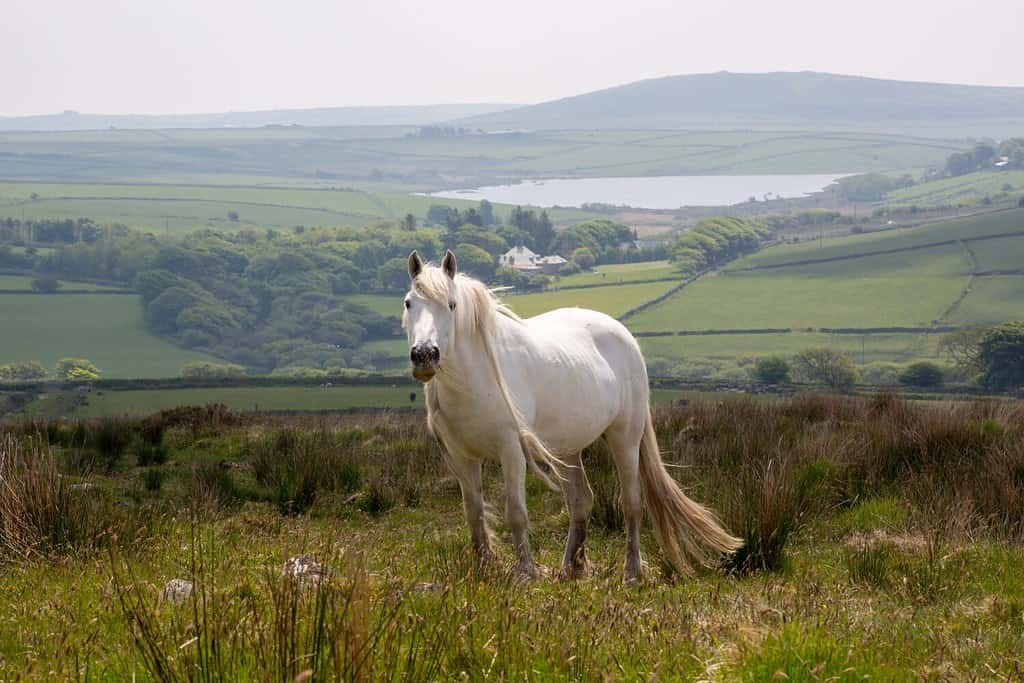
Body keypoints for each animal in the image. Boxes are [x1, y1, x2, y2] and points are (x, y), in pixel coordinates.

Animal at [403, 250, 741, 581]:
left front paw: (526, 573)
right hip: (568, 450)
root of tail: (625, 336)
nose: (424, 355)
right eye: (409, 302)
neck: (476, 378)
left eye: (451, 304)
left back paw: (631, 572)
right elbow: (474, 514)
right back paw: (569, 569)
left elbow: (516, 512)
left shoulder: (511, 451)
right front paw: (484, 569)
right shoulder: (463, 458)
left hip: (625, 439)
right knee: (581, 502)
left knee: (631, 502)